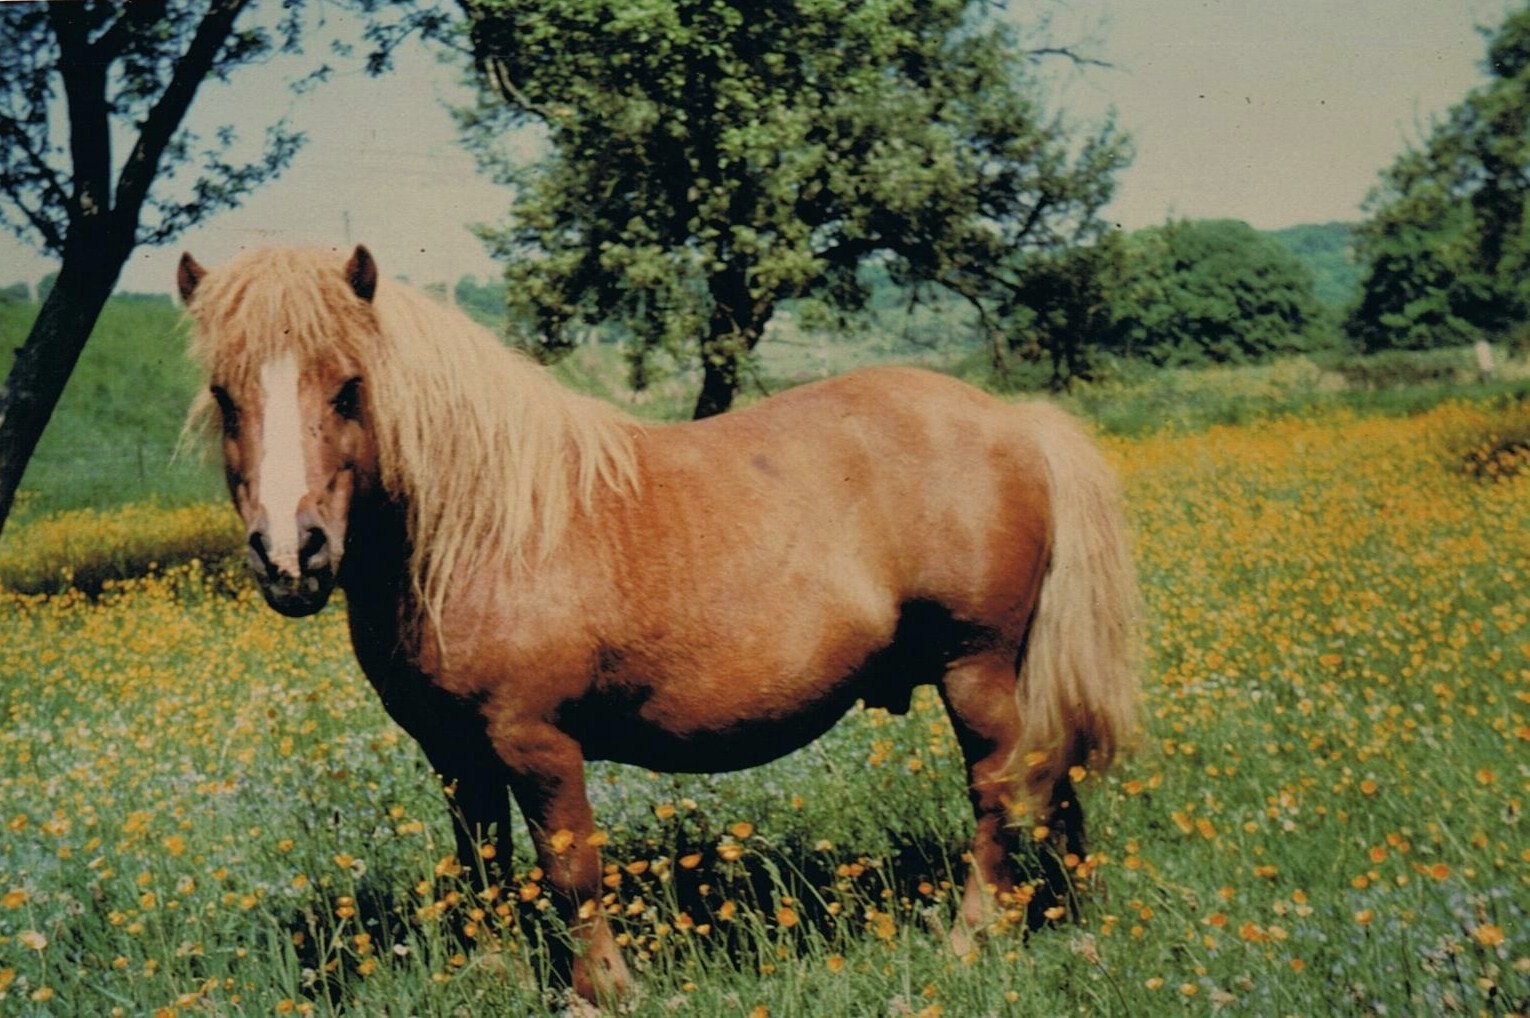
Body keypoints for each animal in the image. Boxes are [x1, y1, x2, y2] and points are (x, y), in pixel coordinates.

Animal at [179, 246, 1138, 998]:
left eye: (348, 389)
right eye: (225, 396)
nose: (290, 554)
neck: (486, 527)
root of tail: (1016, 420)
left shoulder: (536, 741)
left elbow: (570, 868)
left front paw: (600, 991)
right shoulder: (454, 752)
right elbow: (482, 865)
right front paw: (492, 975)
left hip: (975, 670)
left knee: (1001, 791)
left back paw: (976, 937)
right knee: (1049, 779)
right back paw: (1065, 915)